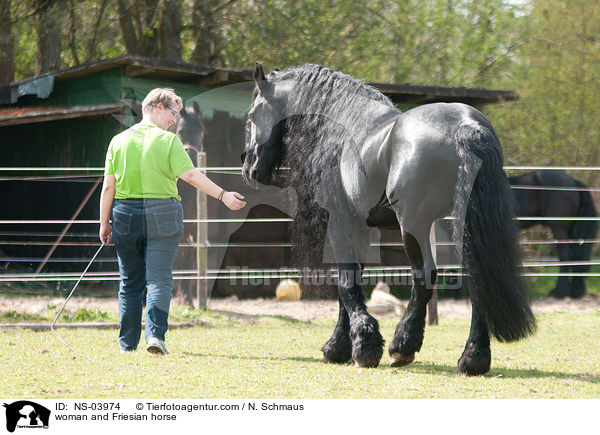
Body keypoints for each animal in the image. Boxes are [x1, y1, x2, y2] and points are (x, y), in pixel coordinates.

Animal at [241, 63, 536, 376]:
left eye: (252, 116)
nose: (249, 168)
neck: (343, 126)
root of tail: (466, 126)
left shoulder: (341, 222)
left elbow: (346, 283)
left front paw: (361, 347)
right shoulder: (360, 227)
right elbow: (353, 280)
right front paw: (342, 345)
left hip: (414, 226)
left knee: (424, 277)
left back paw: (402, 345)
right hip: (462, 226)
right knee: (477, 276)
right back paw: (473, 357)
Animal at [508, 170, 596, 300]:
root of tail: (573, 181)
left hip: (560, 229)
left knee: (565, 256)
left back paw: (559, 291)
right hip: (572, 230)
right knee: (576, 256)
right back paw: (575, 291)